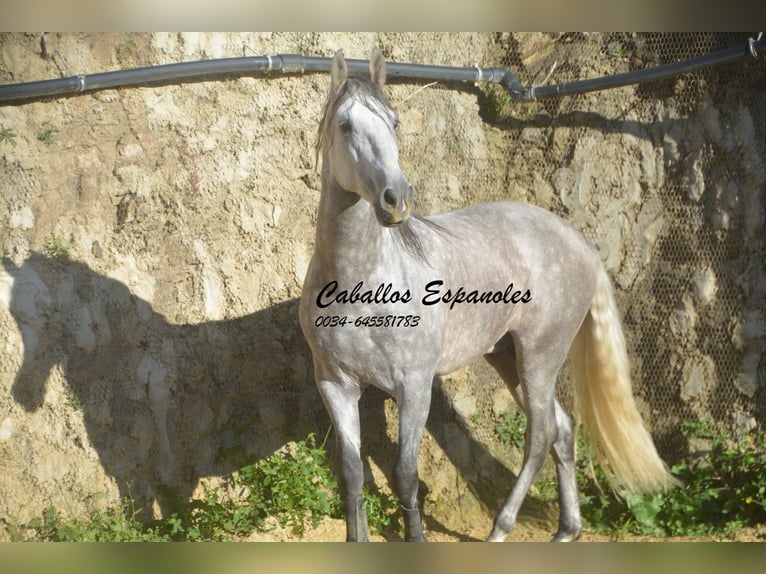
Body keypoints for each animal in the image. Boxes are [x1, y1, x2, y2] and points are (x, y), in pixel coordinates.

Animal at [300, 49, 680, 544]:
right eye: (345, 125)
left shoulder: (414, 386)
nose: (396, 199)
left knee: (539, 438)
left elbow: (405, 474)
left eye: (394, 121)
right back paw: (567, 530)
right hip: (507, 358)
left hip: (539, 357)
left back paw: (500, 529)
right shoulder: (337, 384)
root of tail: (581, 246)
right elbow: (350, 472)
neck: (361, 283)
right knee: (562, 431)